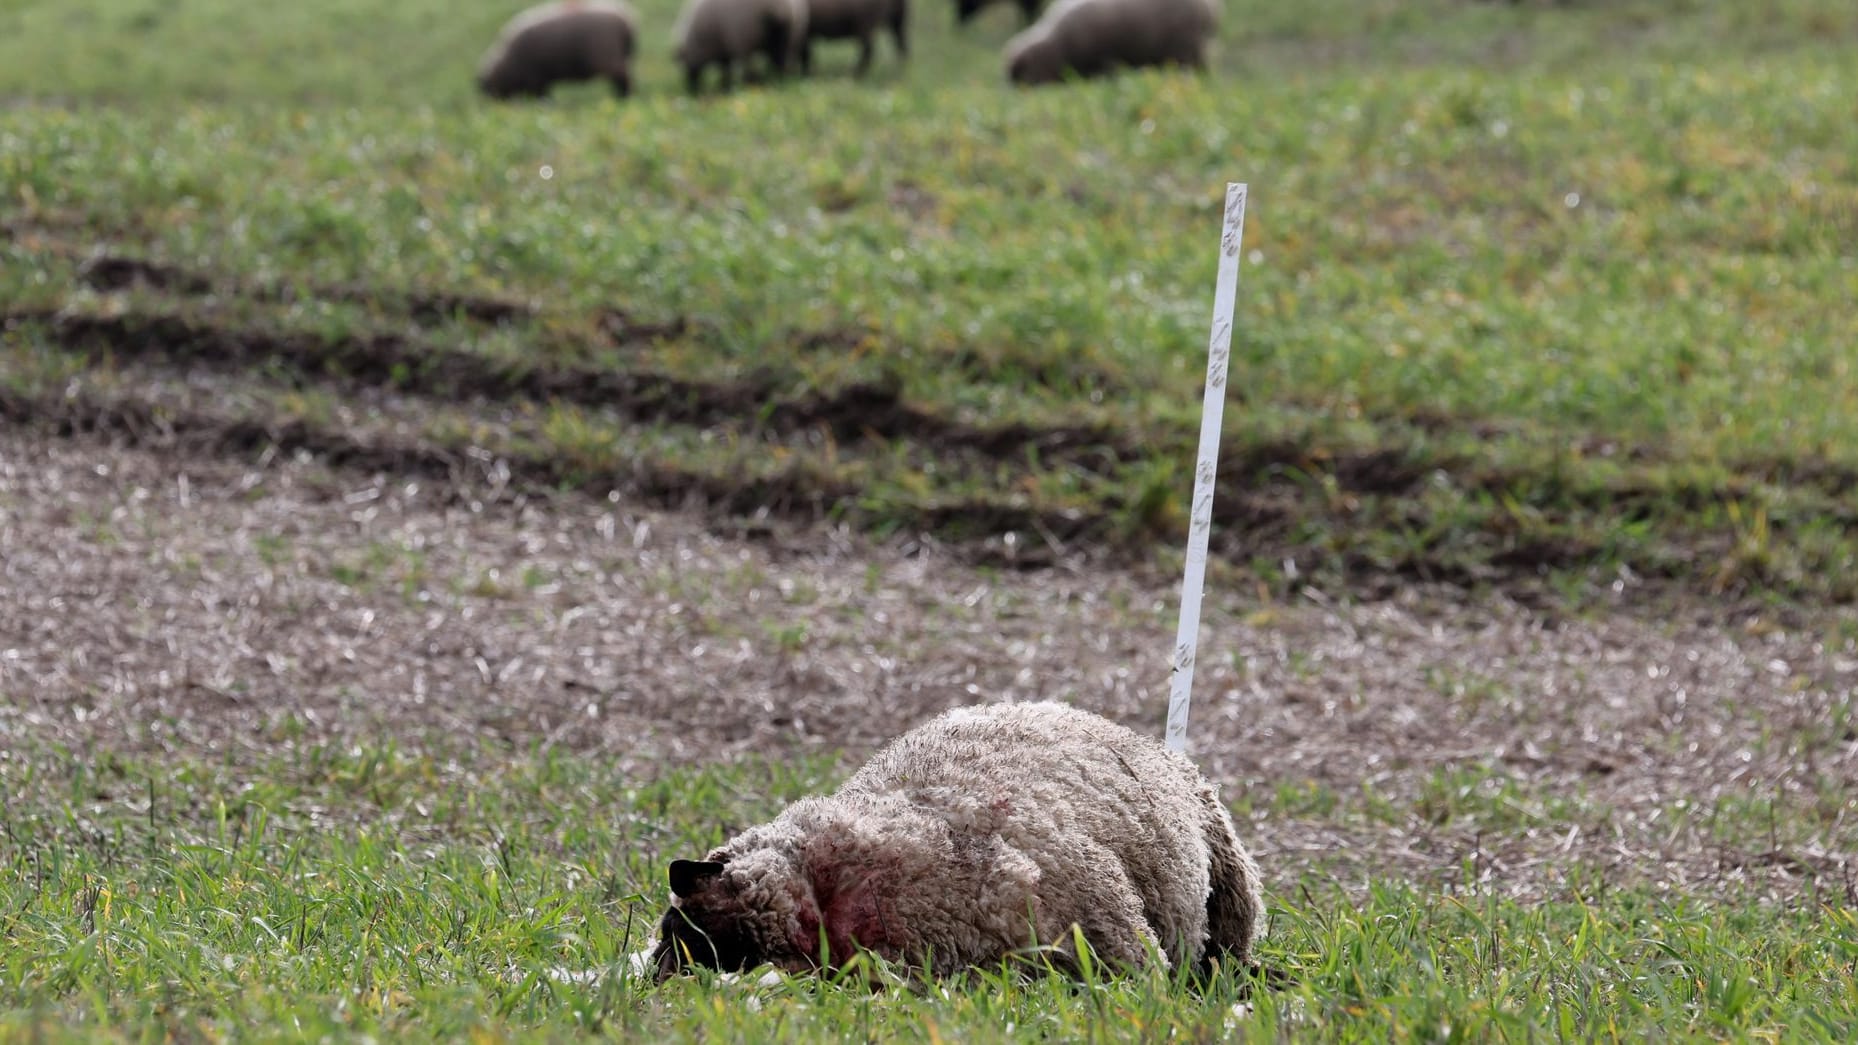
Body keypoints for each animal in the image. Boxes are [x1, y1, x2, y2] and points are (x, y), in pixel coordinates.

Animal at [479, 0, 639, 99]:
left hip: (608, 57)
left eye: (488, 90)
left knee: (623, 79)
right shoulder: (541, 78)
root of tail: (625, 18)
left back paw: (622, 97)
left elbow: (543, 96)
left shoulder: (535, 78)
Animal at [676, 0, 806, 93]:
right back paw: (779, 82)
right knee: (781, 64)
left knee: (750, 68)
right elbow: (726, 71)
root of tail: (780, 8)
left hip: (747, 37)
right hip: (784, 39)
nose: (691, 91)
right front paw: (725, 87)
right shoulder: (724, 52)